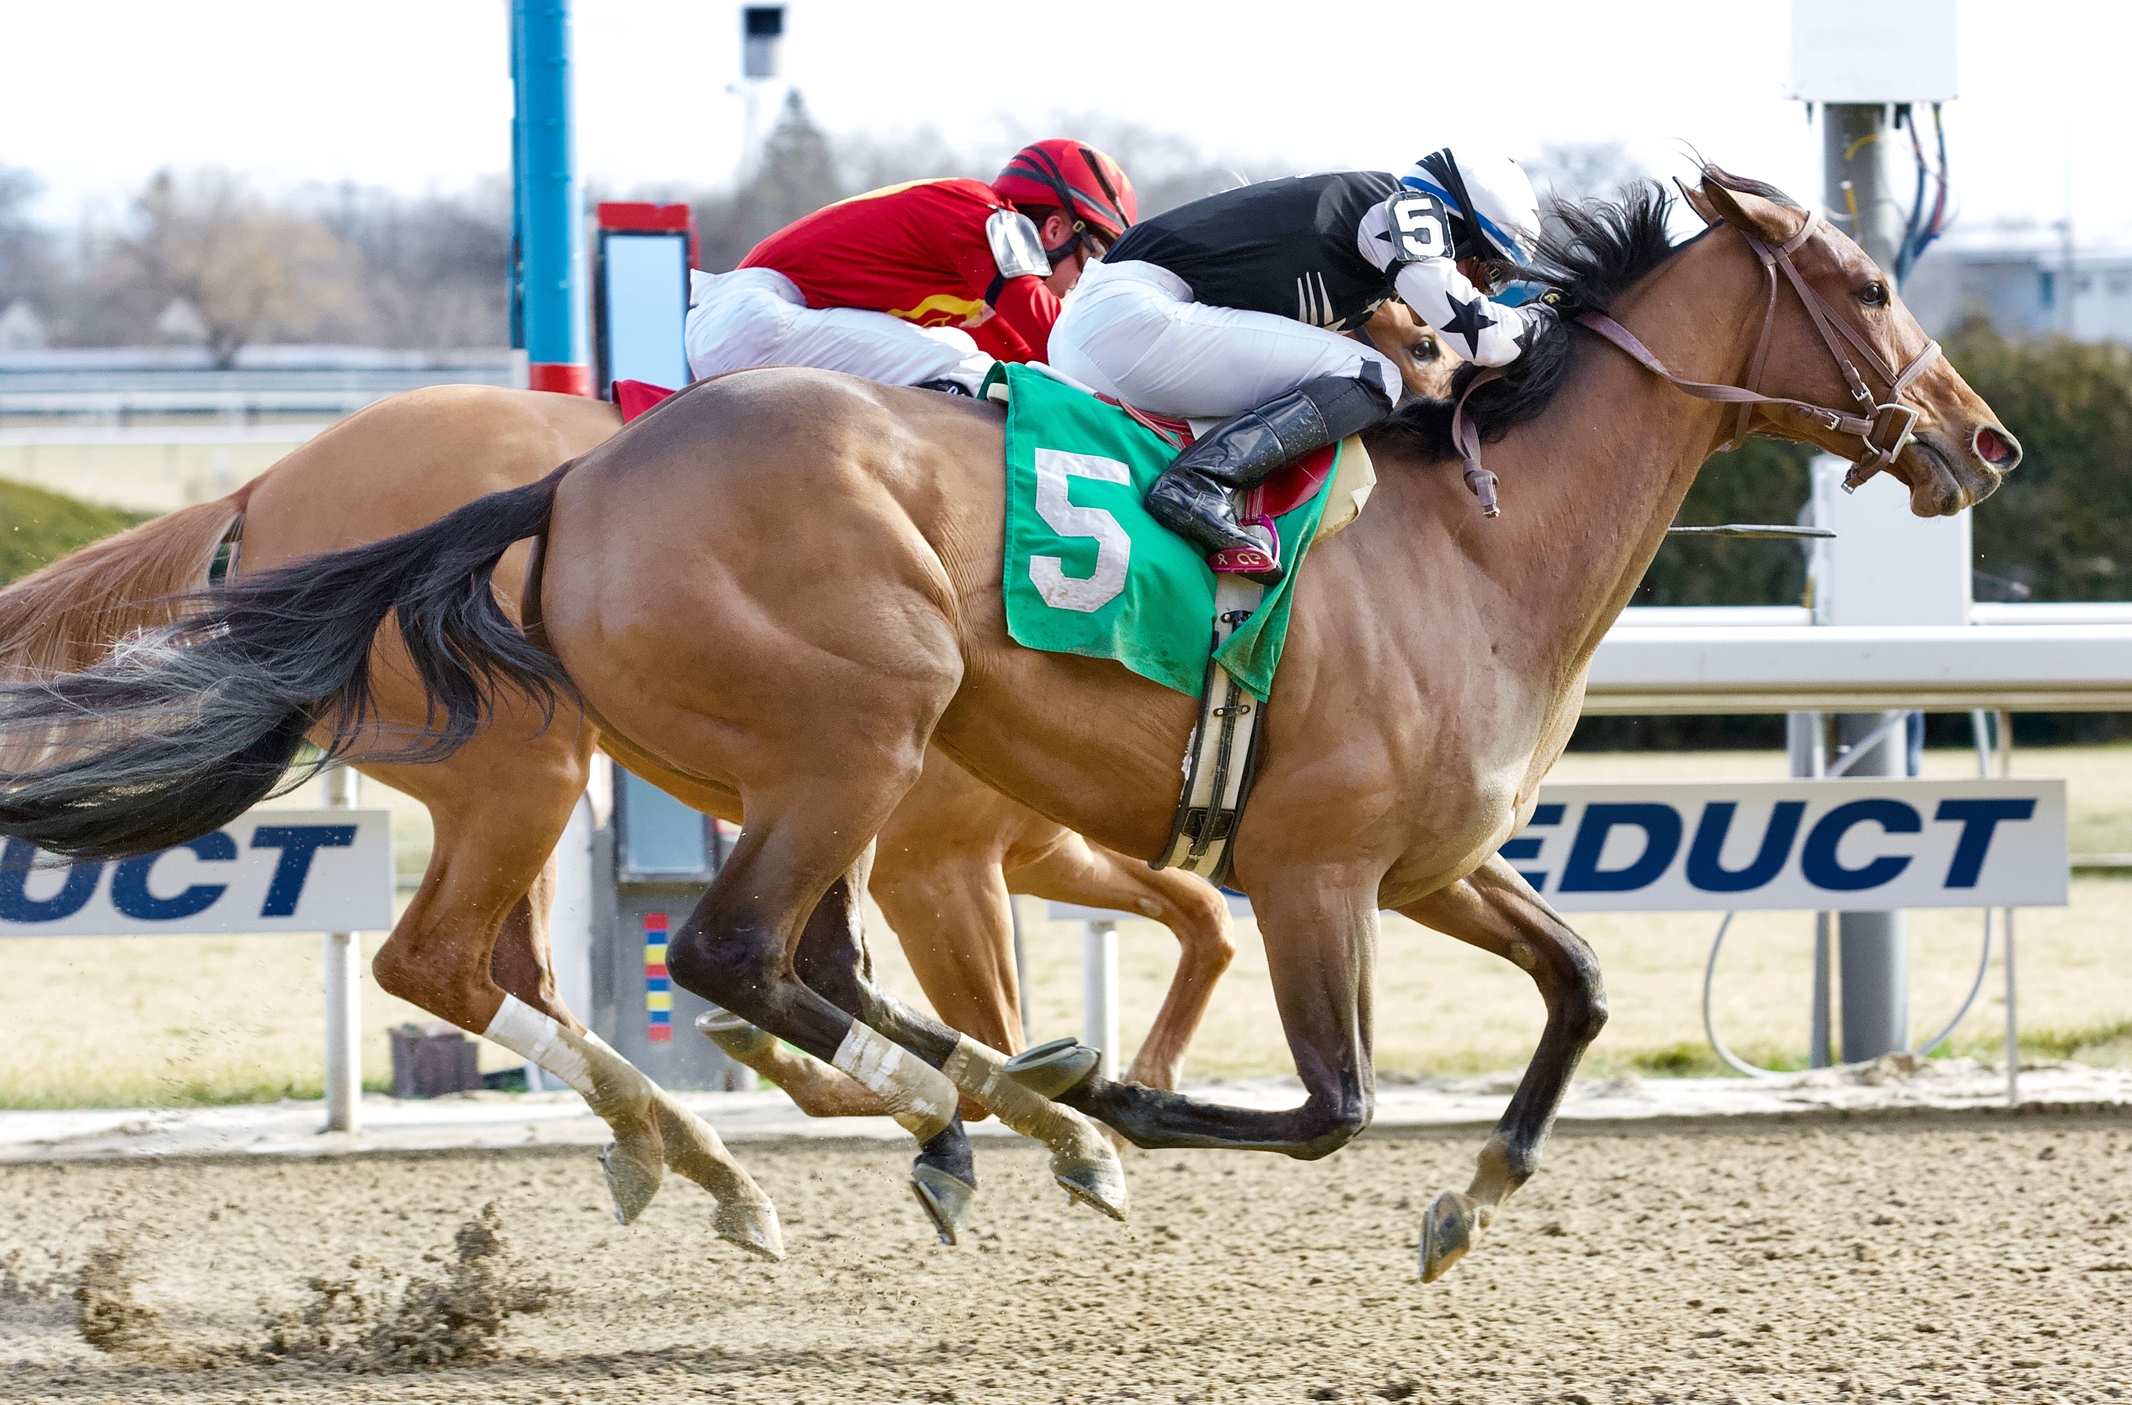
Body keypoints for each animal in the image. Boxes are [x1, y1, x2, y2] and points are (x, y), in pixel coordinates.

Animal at [0, 172, 2004, 1287]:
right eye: (1874, 285)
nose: (1978, 442)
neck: (1481, 538)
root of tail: (566, 486)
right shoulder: (1302, 870)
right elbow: (1327, 1106)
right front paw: (1105, 1099)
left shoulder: (1421, 863)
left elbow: (1577, 985)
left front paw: (1471, 1196)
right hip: (808, 741)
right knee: (670, 958)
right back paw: (915, 1126)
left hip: (753, 771)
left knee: (686, 968)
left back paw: (821, 1138)